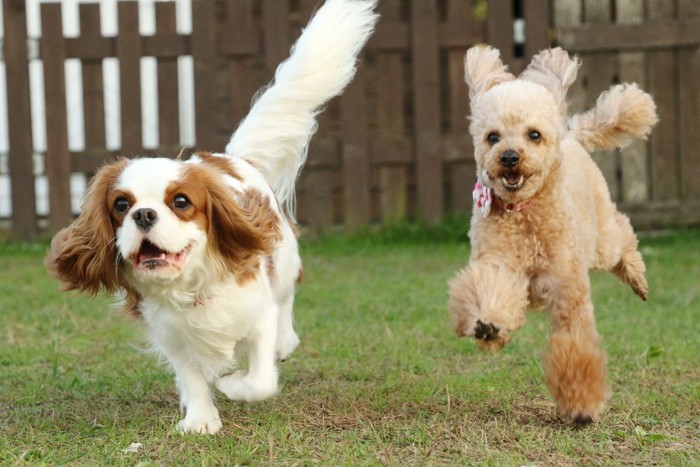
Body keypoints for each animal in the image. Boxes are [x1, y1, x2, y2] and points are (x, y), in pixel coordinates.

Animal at [45, 1, 378, 436]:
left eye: (180, 201)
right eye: (120, 205)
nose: (143, 214)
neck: (190, 287)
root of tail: (230, 157)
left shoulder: (258, 316)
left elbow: (259, 379)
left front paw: (232, 385)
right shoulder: (173, 338)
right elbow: (192, 377)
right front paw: (201, 418)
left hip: (284, 259)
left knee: (287, 295)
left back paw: (284, 342)